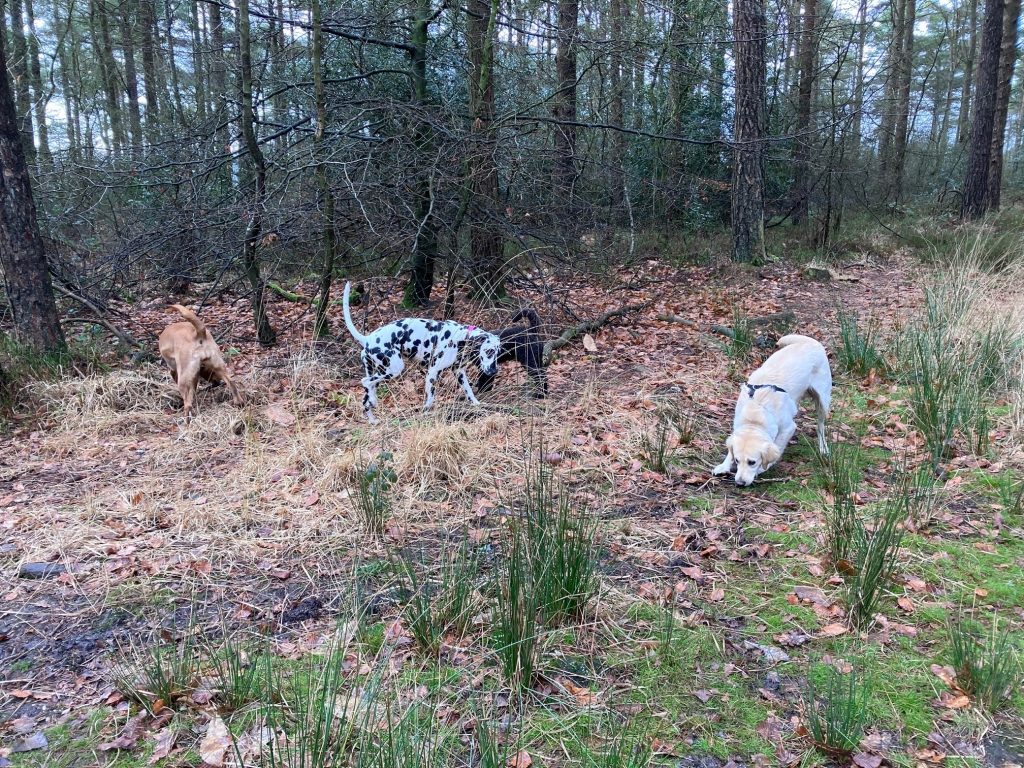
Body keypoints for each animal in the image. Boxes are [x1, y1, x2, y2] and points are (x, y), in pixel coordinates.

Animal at [344, 284, 503, 428]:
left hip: (378, 371)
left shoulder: (459, 372)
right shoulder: (432, 373)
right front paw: (426, 411)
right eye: (489, 351)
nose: (494, 370)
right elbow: (430, 398)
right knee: (365, 382)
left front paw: (477, 404)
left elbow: (469, 391)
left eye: (498, 352)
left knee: (366, 396)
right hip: (393, 369)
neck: (461, 338)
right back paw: (374, 400)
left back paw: (372, 416)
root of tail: (368, 339)